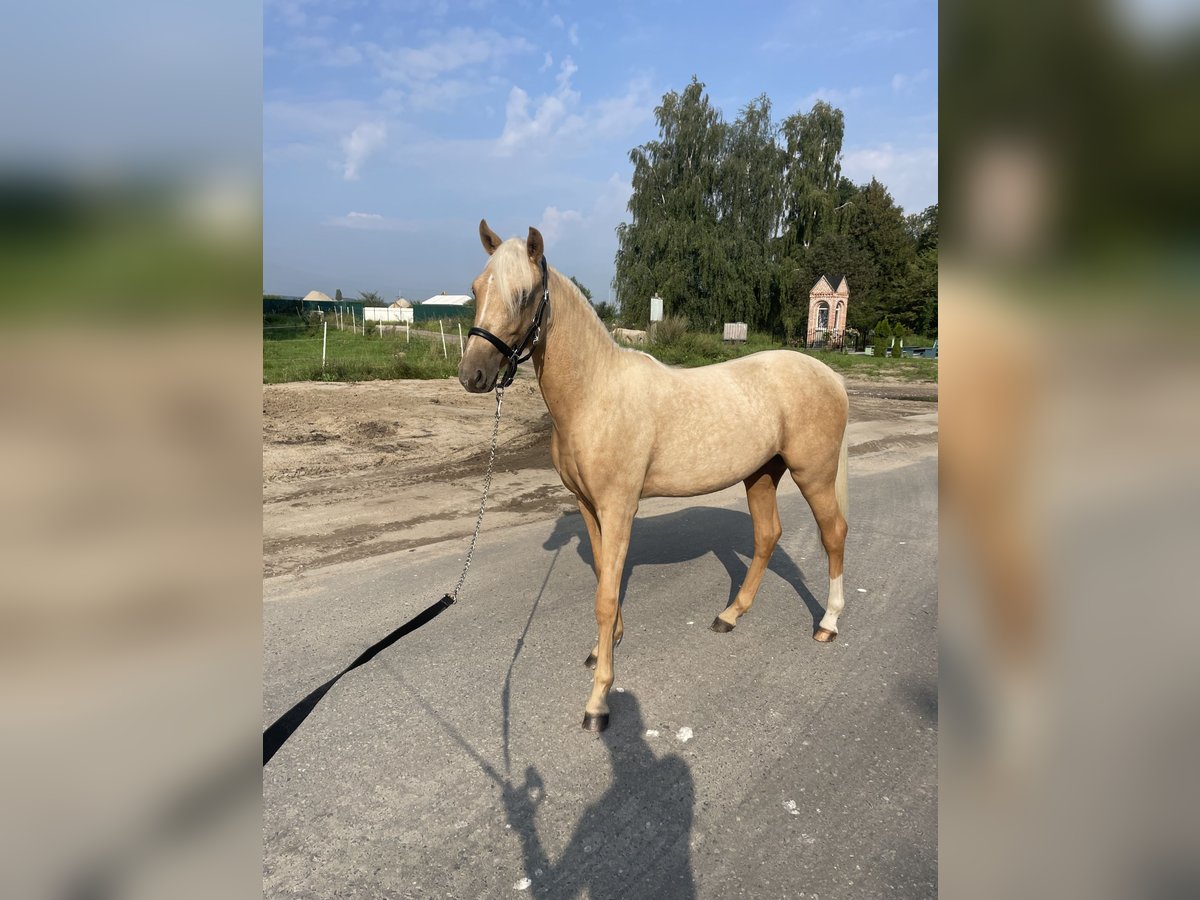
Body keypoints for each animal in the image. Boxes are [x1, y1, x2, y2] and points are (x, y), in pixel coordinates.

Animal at [459, 220, 850, 733]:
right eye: (476, 289)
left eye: (524, 295)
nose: (472, 374)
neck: (595, 394)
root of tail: (830, 375)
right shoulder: (589, 506)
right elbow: (605, 576)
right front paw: (604, 647)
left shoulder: (619, 506)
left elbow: (605, 596)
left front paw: (598, 701)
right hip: (762, 474)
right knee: (768, 536)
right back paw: (730, 615)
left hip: (814, 474)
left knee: (833, 535)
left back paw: (827, 623)